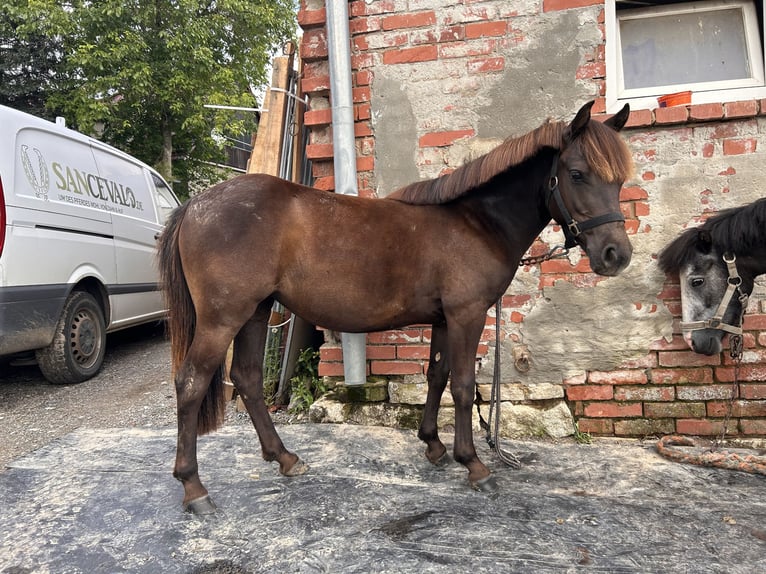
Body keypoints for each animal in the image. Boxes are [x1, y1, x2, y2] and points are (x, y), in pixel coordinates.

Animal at [158, 101, 636, 516]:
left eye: (617, 181)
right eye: (577, 174)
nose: (616, 255)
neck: (476, 223)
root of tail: (194, 205)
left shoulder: (444, 318)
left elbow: (437, 375)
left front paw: (434, 445)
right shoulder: (467, 314)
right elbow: (463, 385)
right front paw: (474, 464)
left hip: (256, 311)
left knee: (247, 379)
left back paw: (285, 458)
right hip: (223, 318)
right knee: (192, 382)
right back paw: (194, 488)